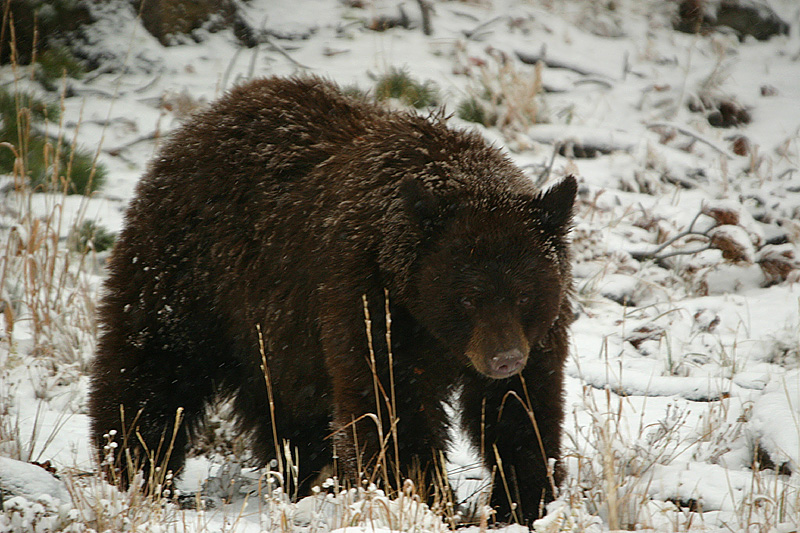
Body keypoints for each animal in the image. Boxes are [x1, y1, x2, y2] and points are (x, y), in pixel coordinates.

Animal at [87, 74, 576, 520]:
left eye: (525, 294)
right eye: (468, 297)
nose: (504, 358)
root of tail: (206, 117)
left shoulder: (538, 335)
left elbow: (522, 411)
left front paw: (524, 500)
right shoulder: (368, 302)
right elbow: (389, 407)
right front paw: (421, 498)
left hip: (277, 331)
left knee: (288, 407)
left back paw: (301, 477)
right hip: (191, 274)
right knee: (152, 364)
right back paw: (135, 468)